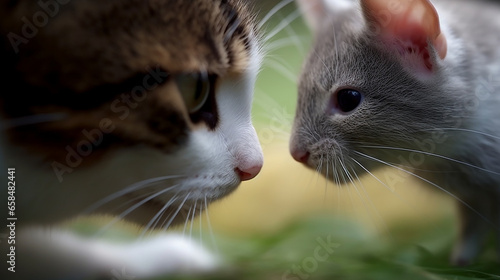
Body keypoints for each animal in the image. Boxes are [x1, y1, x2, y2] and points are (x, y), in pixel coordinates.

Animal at [292, 0, 500, 266]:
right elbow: (470, 231)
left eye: (348, 99)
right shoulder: (472, 198)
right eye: (299, 92)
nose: (296, 153)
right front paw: (460, 262)